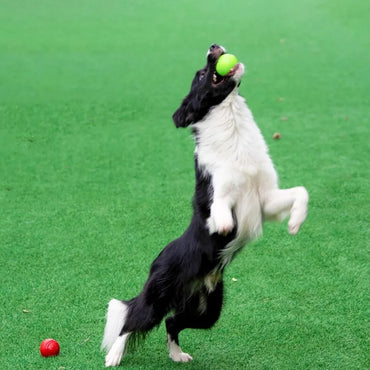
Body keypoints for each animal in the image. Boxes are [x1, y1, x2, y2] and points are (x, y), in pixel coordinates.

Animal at [102, 44, 310, 366]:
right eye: (201, 74)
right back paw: (113, 356)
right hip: (159, 295)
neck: (232, 124)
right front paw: (223, 224)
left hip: (208, 309)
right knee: (132, 321)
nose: (214, 46)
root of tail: (157, 260)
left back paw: (177, 355)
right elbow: (219, 207)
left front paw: (296, 222)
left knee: (172, 322)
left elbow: (302, 191)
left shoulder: (265, 199)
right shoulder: (219, 191)